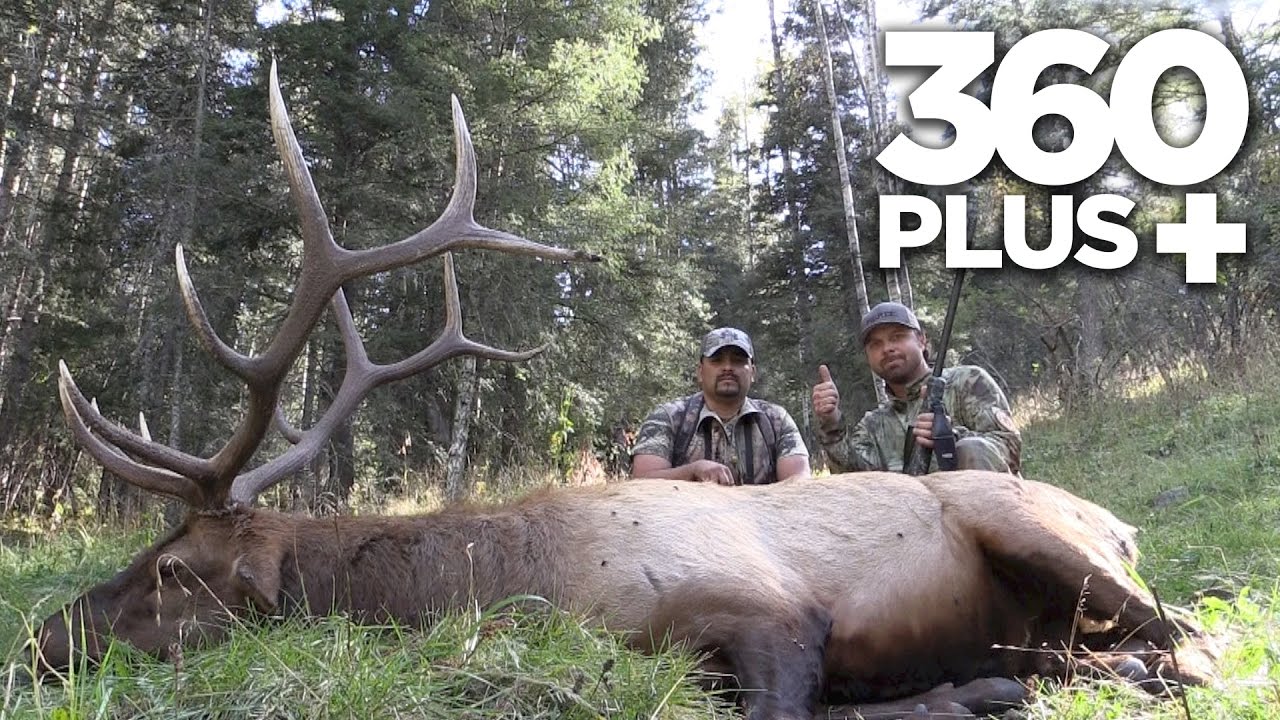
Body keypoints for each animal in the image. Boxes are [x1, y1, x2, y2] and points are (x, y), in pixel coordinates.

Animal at [20, 63, 1217, 720]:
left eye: (173, 568)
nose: (38, 641)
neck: (525, 577)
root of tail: (1115, 519)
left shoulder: (768, 609)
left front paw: (959, 695)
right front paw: (966, 690)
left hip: (1027, 525)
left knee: (1188, 641)